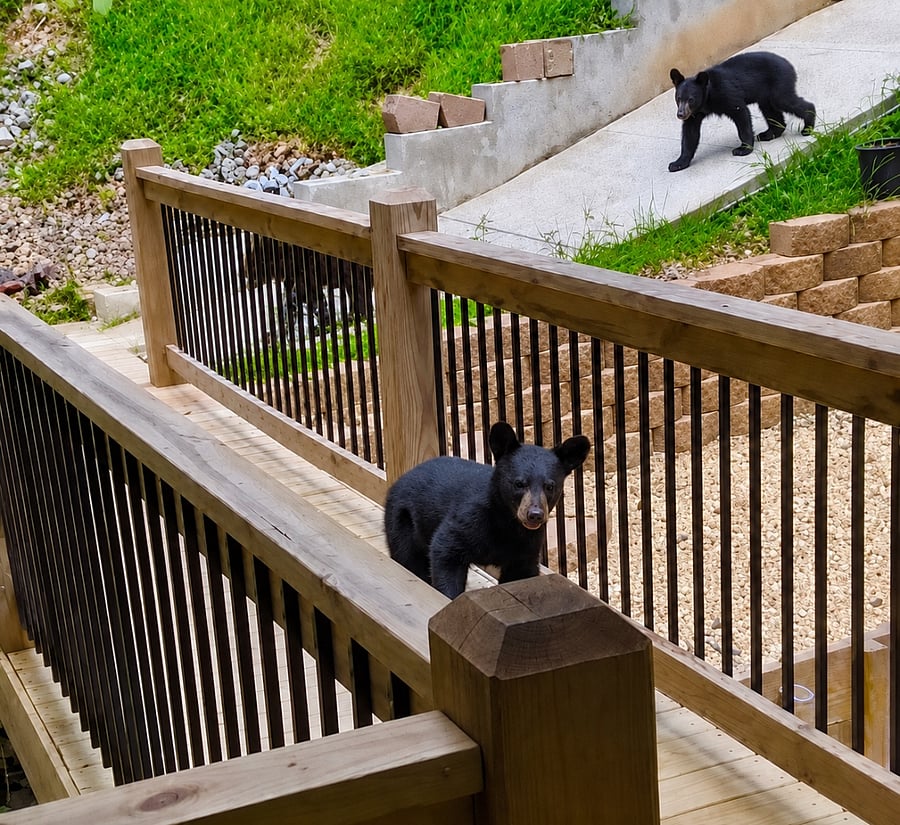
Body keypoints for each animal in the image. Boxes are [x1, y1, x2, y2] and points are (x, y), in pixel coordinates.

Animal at [383, 421, 591, 599]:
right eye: (519, 483)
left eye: (550, 486)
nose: (535, 515)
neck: (507, 524)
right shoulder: (469, 519)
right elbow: (445, 551)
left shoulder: (527, 546)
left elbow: (520, 574)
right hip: (401, 520)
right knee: (408, 557)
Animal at [668, 51, 815, 172]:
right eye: (678, 98)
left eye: (691, 99)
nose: (680, 114)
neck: (707, 97)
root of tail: (788, 64)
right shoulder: (695, 113)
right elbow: (690, 133)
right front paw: (677, 163)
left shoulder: (726, 93)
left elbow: (741, 114)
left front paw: (743, 149)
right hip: (766, 93)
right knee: (770, 110)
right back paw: (768, 134)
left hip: (779, 83)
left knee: (786, 100)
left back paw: (807, 127)